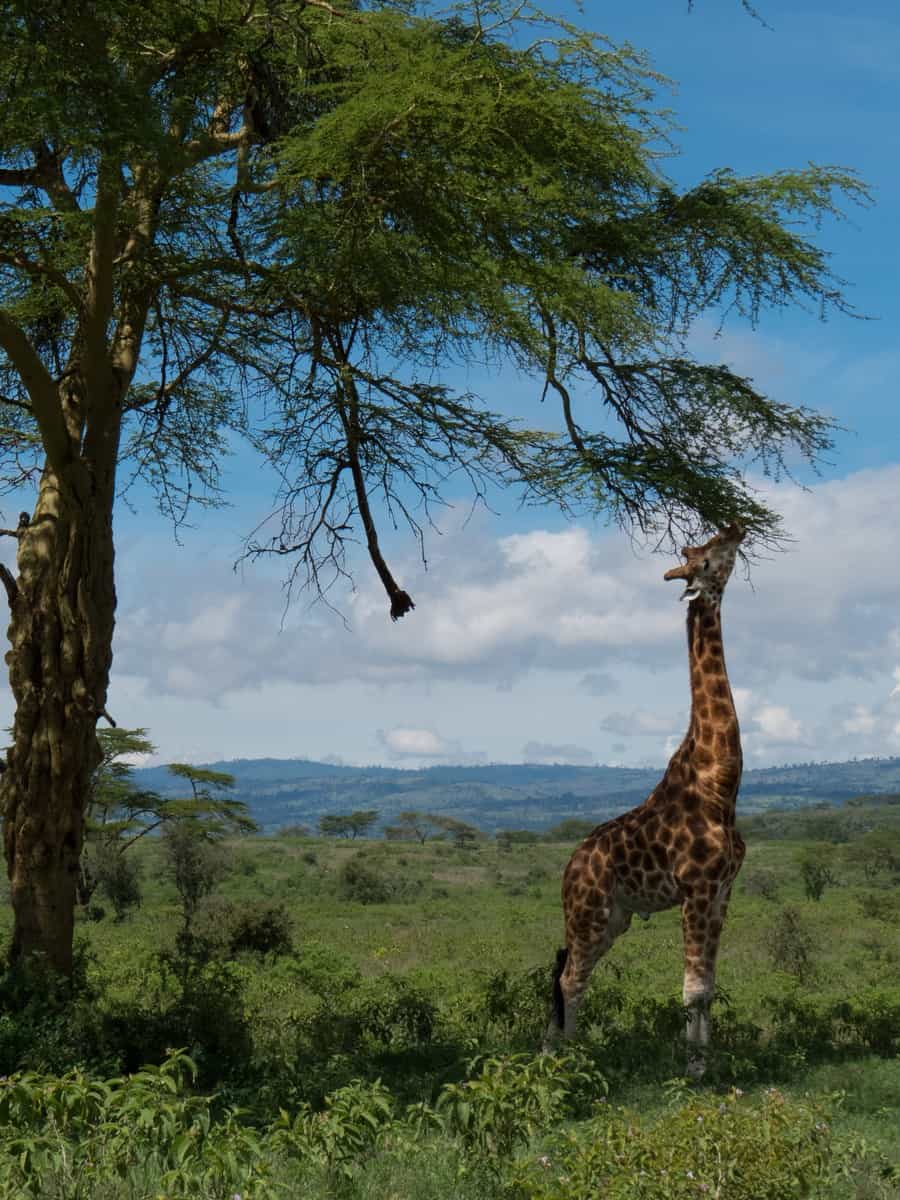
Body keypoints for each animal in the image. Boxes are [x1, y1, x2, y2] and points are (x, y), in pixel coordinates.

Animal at [549, 520, 748, 1075]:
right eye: (706, 556)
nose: (738, 525)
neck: (720, 782)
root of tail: (569, 868)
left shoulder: (724, 892)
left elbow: (709, 987)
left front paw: (708, 1059)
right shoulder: (697, 888)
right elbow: (693, 988)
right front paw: (694, 1070)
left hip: (614, 918)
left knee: (567, 975)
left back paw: (558, 1050)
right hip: (590, 912)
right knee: (569, 978)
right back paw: (565, 1060)